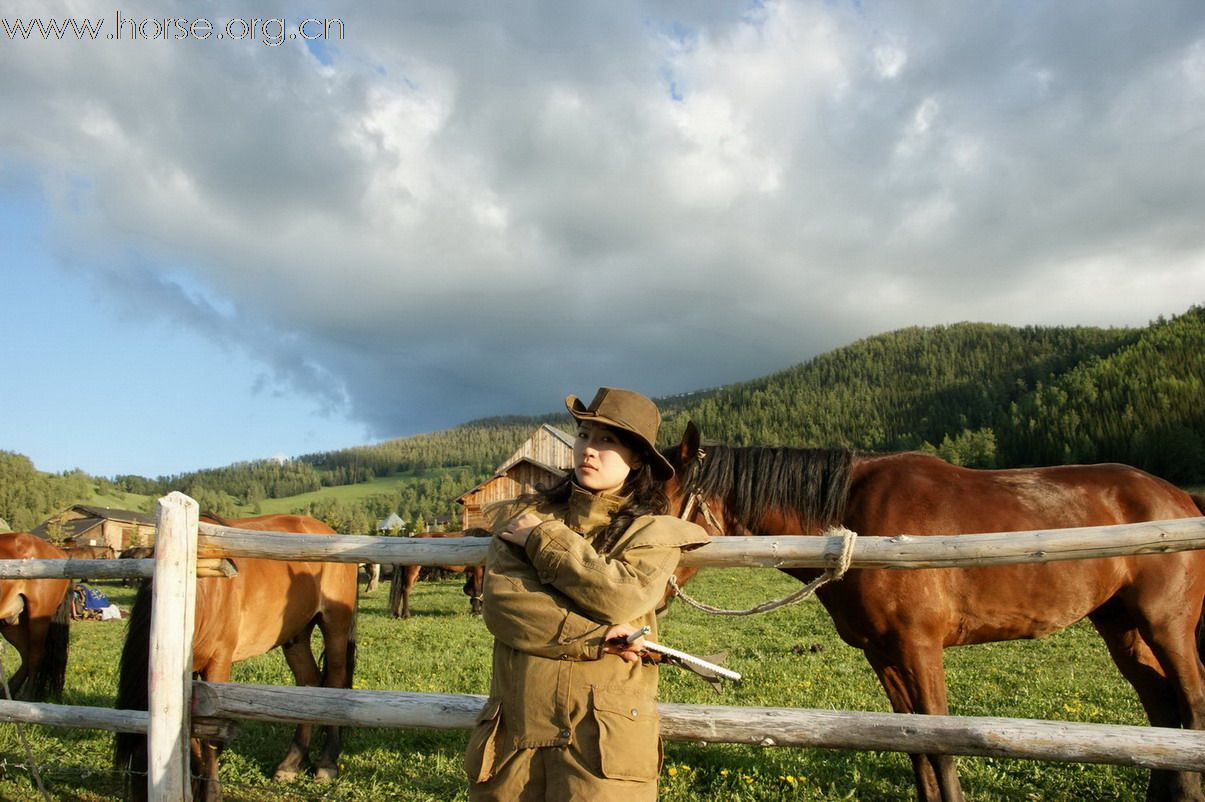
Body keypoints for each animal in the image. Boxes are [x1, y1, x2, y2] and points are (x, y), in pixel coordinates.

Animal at [0, 529, 71, 698]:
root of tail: (61, 553)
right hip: (12, 623)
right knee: (26, 657)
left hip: (39, 618)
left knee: (35, 657)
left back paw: (26, 697)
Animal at [114, 515, 359, 794]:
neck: (198, 587)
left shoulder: (218, 662)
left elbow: (210, 737)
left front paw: (211, 792)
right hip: (296, 635)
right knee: (308, 683)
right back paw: (291, 763)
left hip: (335, 626)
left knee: (335, 684)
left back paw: (327, 763)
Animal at [665, 428, 1200, 799]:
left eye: (656, 502)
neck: (857, 522)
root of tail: (1180, 497)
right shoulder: (884, 655)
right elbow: (915, 744)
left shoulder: (919, 648)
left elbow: (941, 743)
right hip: (1121, 629)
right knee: (1161, 710)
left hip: (1166, 627)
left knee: (1190, 706)